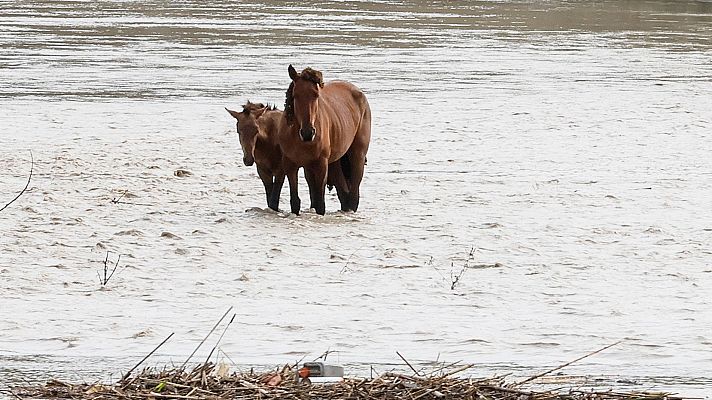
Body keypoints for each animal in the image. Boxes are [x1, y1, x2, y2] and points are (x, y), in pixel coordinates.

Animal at [280, 65, 372, 216]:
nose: (308, 133)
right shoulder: (291, 165)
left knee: (353, 196)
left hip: (357, 156)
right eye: (295, 95)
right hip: (335, 163)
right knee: (343, 194)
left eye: (316, 95)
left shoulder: (321, 165)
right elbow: (295, 201)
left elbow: (320, 204)